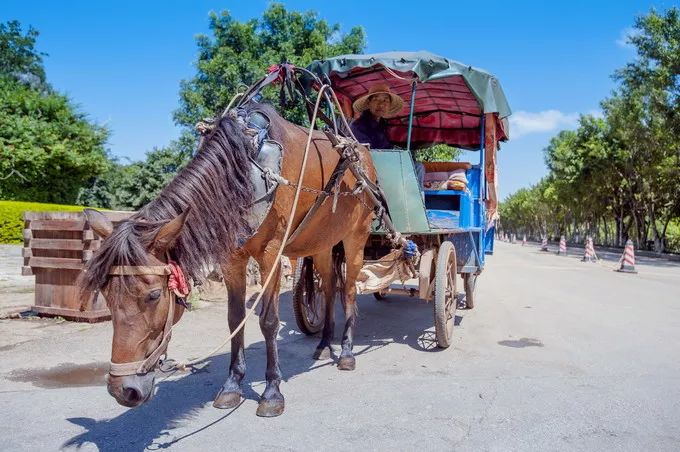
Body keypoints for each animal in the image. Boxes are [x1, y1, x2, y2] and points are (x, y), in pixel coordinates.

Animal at [81, 101, 378, 416]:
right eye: (106, 295)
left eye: (153, 295)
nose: (123, 391)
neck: (244, 170)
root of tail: (363, 156)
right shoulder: (231, 258)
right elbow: (235, 318)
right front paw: (232, 384)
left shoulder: (271, 253)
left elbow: (268, 321)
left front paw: (272, 390)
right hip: (321, 242)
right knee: (329, 285)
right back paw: (323, 343)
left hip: (356, 236)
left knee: (349, 290)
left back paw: (345, 351)